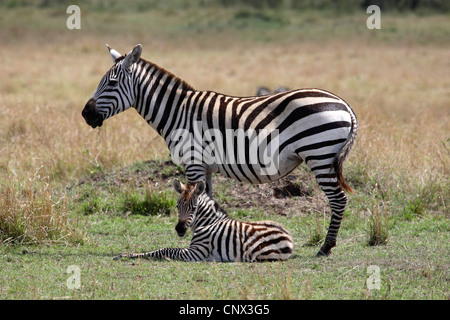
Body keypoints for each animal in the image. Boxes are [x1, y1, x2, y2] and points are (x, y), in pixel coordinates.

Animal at [114, 179, 294, 262]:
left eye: (193, 208)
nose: (179, 229)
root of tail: (288, 236)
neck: (207, 223)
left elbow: (165, 249)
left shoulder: (196, 252)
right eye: (177, 206)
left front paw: (126, 255)